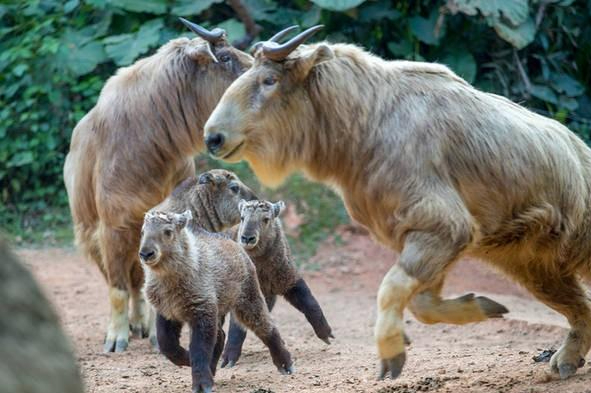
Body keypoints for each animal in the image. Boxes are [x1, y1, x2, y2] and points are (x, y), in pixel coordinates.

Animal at [141, 211, 294, 392]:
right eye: (143, 231)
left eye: (168, 232)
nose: (146, 253)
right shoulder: (167, 312)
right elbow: (166, 344)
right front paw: (187, 360)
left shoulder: (202, 311)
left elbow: (199, 349)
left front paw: (201, 383)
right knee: (220, 336)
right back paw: (212, 370)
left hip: (247, 300)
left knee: (266, 326)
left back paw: (285, 363)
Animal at [221, 199, 332, 368]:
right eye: (242, 217)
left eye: (266, 219)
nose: (247, 238)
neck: (260, 263)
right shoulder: (244, 293)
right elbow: (237, 327)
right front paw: (229, 358)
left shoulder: (289, 279)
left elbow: (310, 303)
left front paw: (325, 333)